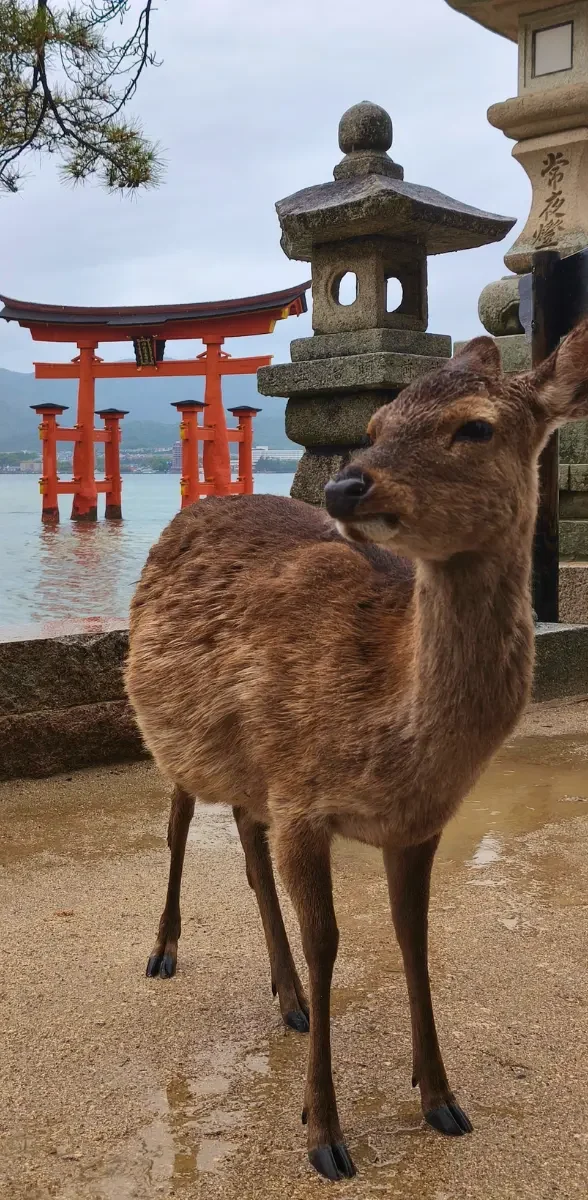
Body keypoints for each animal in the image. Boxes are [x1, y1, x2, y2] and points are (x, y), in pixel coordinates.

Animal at [125, 320, 588, 1182]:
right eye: (374, 425)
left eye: (475, 427)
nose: (345, 488)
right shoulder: (303, 801)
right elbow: (330, 942)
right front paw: (324, 1134)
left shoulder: (412, 823)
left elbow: (413, 937)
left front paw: (440, 1097)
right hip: (171, 730)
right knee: (178, 823)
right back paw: (165, 951)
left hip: (251, 764)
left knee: (246, 842)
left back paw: (289, 999)